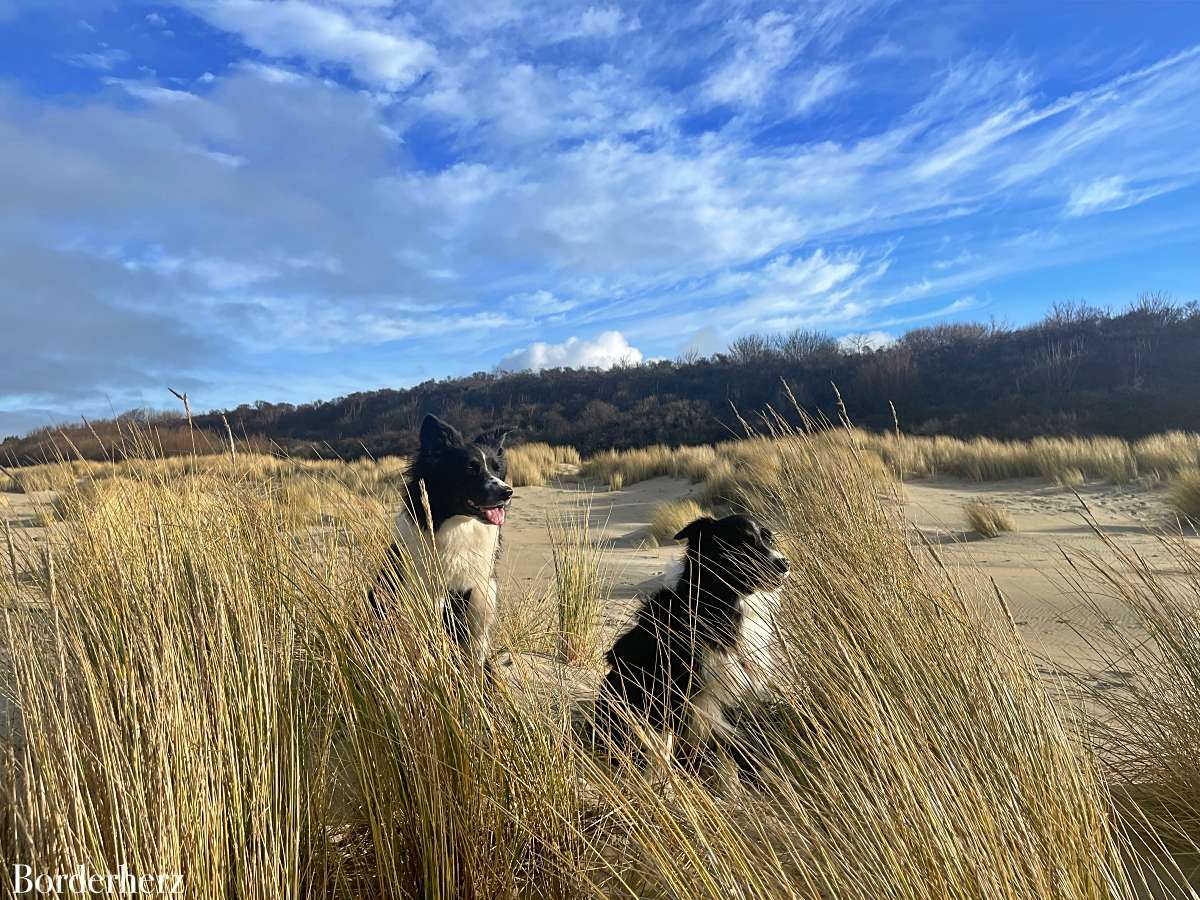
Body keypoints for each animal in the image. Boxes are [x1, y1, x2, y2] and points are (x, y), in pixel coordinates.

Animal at [597, 513, 787, 768]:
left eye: (769, 540)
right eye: (744, 545)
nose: (785, 565)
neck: (716, 603)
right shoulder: (670, 692)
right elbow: (663, 748)